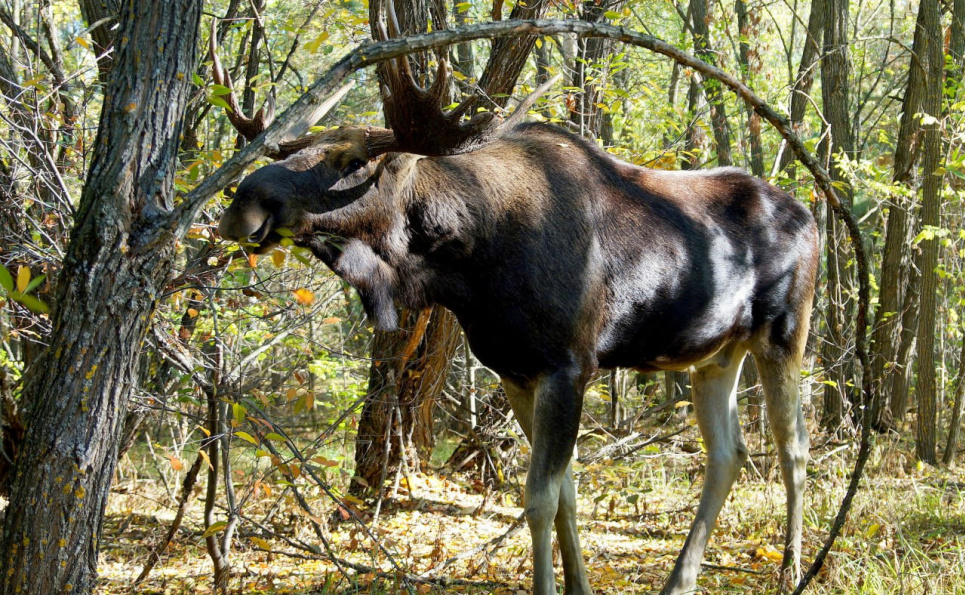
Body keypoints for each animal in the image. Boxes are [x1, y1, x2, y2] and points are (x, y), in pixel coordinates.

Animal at [215, 29, 816, 595]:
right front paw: (579, 584)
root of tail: (812, 216)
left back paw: (792, 568)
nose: (242, 204)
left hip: (784, 330)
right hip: (714, 355)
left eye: (352, 159)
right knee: (729, 453)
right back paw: (681, 579)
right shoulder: (515, 371)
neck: (468, 263)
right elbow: (566, 493)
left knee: (794, 447)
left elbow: (539, 498)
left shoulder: (568, 365)